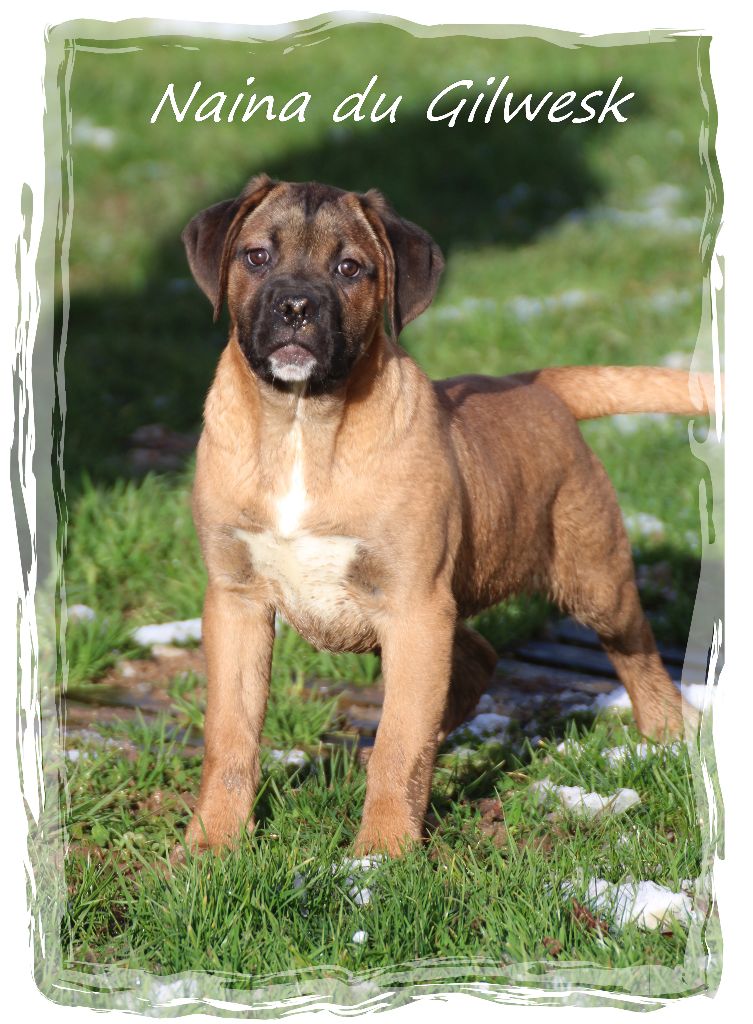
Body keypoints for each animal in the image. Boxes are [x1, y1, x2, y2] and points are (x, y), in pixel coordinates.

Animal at [180, 174, 714, 857]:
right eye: (255, 257)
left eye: (350, 268)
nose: (297, 307)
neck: (303, 426)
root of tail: (540, 387)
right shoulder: (237, 599)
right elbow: (231, 736)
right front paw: (212, 844)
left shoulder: (414, 604)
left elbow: (399, 744)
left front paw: (379, 857)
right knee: (477, 659)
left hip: (591, 578)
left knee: (636, 652)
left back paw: (667, 734)